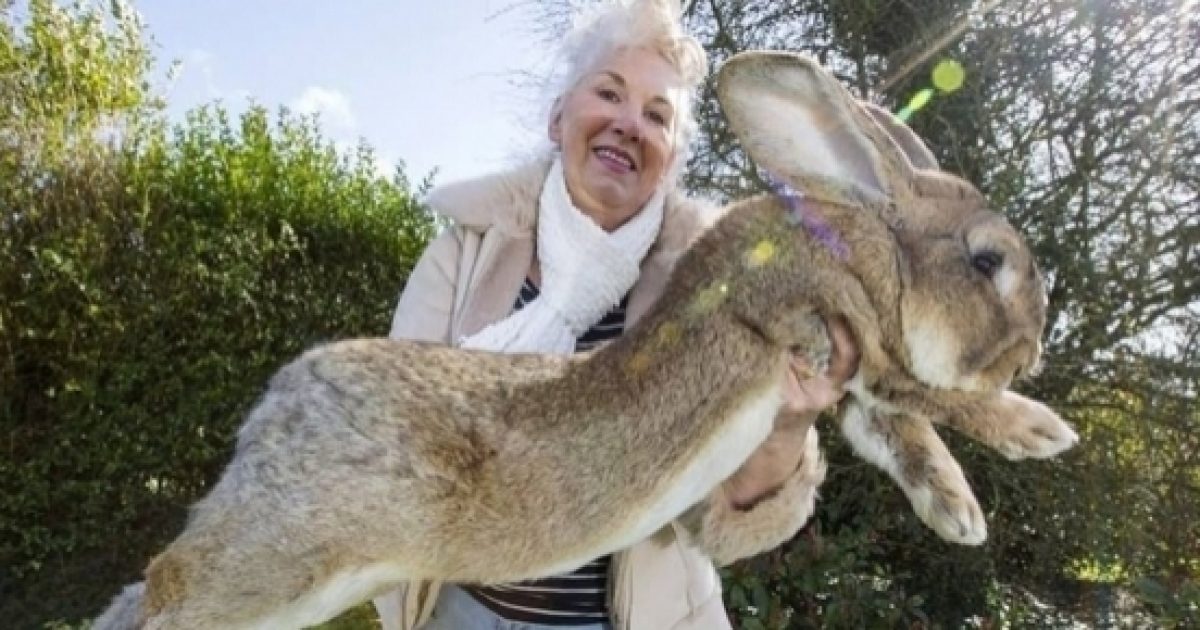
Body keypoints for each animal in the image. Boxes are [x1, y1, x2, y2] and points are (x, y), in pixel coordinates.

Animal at [93, 51, 1076, 629]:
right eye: (989, 261)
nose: (1034, 351)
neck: (857, 241)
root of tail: (276, 410)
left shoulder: (851, 378)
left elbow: (898, 431)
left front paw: (958, 513)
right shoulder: (832, 328)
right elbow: (930, 395)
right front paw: (1038, 431)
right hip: (285, 554)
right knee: (171, 581)